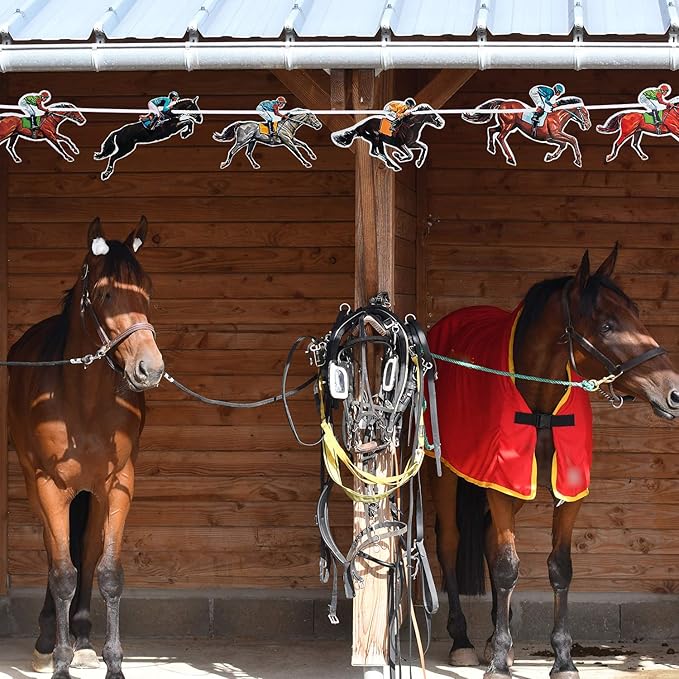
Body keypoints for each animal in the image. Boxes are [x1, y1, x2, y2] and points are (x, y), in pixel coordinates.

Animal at [8, 217, 164, 679]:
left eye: (147, 289)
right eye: (106, 293)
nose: (150, 368)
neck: (85, 401)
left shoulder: (118, 485)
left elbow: (108, 571)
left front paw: (113, 663)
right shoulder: (49, 485)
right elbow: (61, 572)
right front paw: (59, 662)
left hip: (92, 494)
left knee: (89, 554)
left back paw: (81, 638)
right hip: (38, 486)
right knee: (53, 553)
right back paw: (48, 641)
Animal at [426, 245, 679, 679]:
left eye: (637, 313)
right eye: (607, 326)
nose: (674, 393)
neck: (540, 401)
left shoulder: (567, 490)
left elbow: (559, 567)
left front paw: (561, 658)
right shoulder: (500, 484)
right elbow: (507, 567)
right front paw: (499, 664)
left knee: (489, 542)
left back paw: (496, 637)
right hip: (447, 474)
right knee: (450, 543)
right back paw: (463, 641)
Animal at [462, 97, 591, 167]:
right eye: (584, 113)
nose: (588, 125)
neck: (557, 117)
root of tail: (503, 102)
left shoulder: (552, 137)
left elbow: (564, 144)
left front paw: (550, 156)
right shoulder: (555, 134)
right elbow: (573, 140)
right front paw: (578, 161)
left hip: (508, 125)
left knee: (491, 129)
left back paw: (491, 148)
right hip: (508, 125)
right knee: (500, 137)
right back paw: (510, 158)